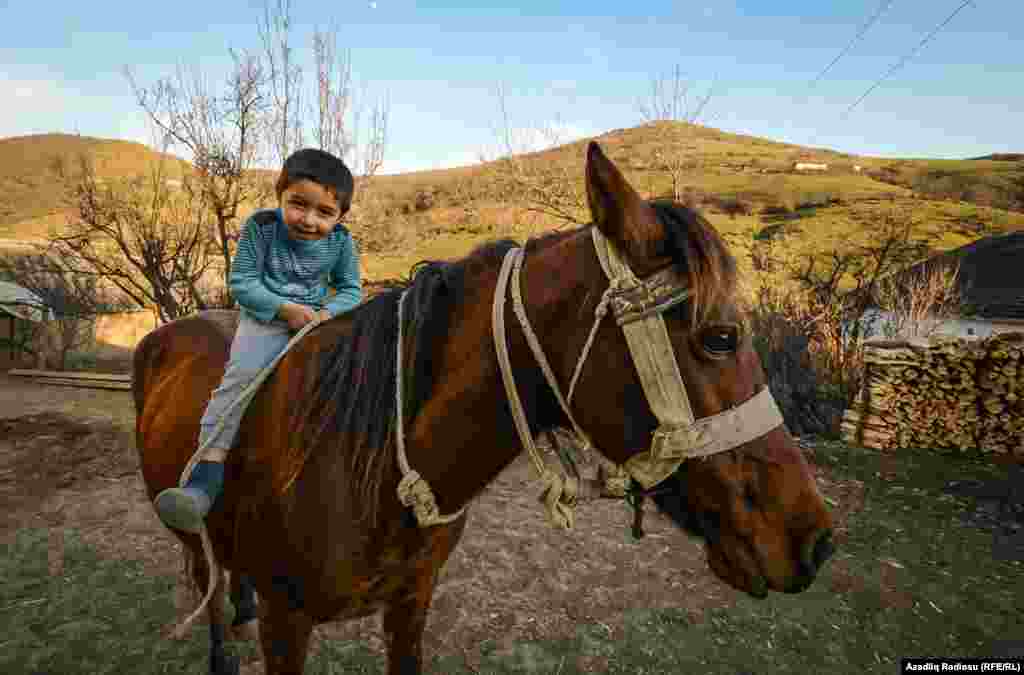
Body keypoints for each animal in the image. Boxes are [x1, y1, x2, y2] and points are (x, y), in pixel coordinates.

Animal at [134, 140, 831, 671]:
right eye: (721, 337)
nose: (817, 541)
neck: (376, 465)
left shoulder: (411, 605)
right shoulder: (289, 623)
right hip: (195, 540)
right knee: (207, 587)